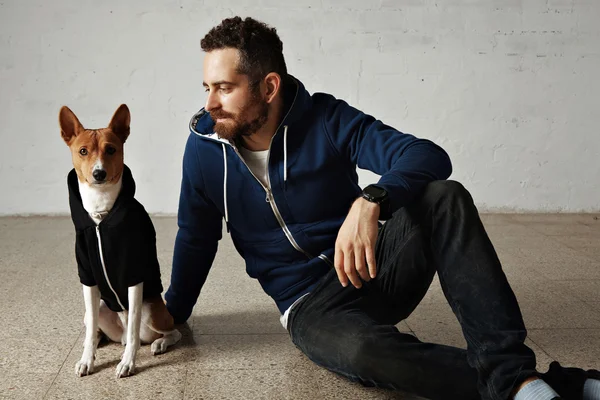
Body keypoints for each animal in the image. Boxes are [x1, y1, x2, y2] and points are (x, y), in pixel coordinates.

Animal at [60, 104, 183, 378]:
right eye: (83, 151)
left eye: (111, 149)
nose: (99, 173)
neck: (100, 215)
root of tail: (121, 332)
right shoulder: (88, 277)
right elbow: (90, 330)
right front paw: (87, 359)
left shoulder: (133, 276)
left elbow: (136, 327)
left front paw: (128, 362)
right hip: (99, 308)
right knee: (94, 326)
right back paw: (97, 341)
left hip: (153, 312)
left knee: (168, 332)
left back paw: (158, 343)